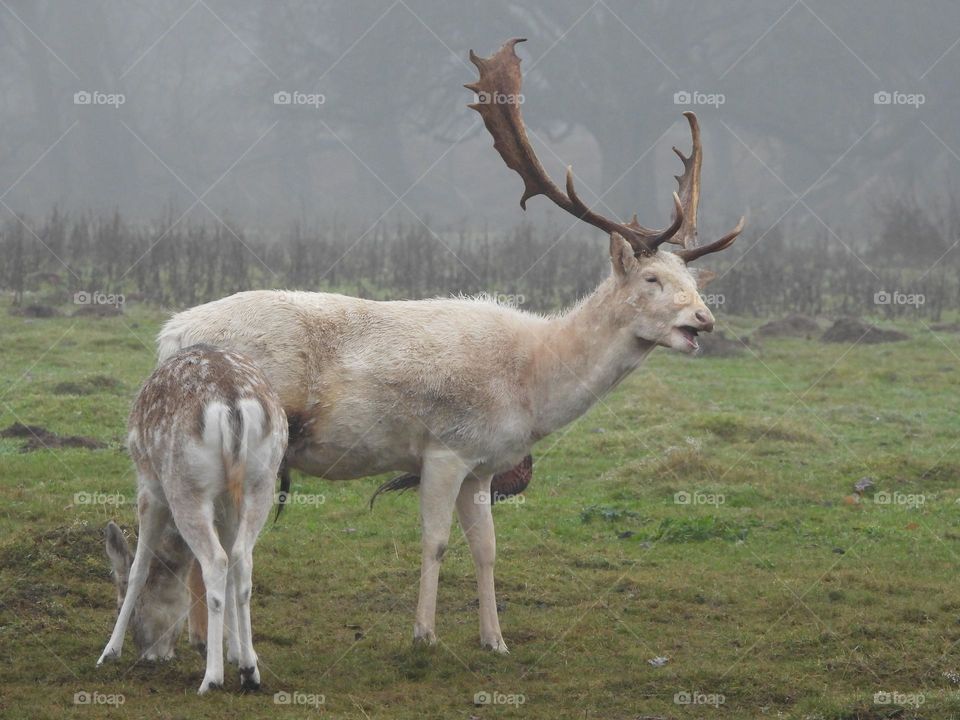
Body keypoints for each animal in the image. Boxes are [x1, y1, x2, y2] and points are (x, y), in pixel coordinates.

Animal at [97, 345, 288, 694]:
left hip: (185, 485)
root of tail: (232, 404)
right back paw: (250, 672)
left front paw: (109, 652)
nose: (149, 655)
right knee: (241, 559)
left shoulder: (149, 486)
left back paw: (211, 679)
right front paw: (236, 653)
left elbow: (139, 567)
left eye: (120, 605)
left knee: (216, 561)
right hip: (261, 482)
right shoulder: (227, 502)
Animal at [155, 38, 745, 655]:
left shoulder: (483, 465)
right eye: (651, 279)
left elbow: (486, 547)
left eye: (694, 280)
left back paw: (197, 637)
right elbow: (435, 541)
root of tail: (170, 334)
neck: (528, 387)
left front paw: (495, 641)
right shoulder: (444, 449)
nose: (703, 321)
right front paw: (424, 635)